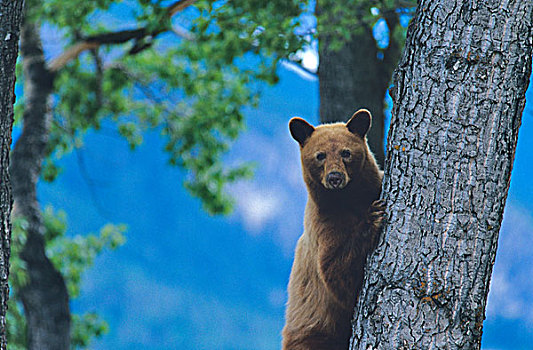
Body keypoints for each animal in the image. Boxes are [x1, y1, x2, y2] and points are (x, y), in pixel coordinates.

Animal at [280, 108, 384, 348]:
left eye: (346, 152)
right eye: (320, 155)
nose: (334, 177)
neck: (347, 199)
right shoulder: (324, 223)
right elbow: (335, 270)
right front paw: (372, 217)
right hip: (312, 335)